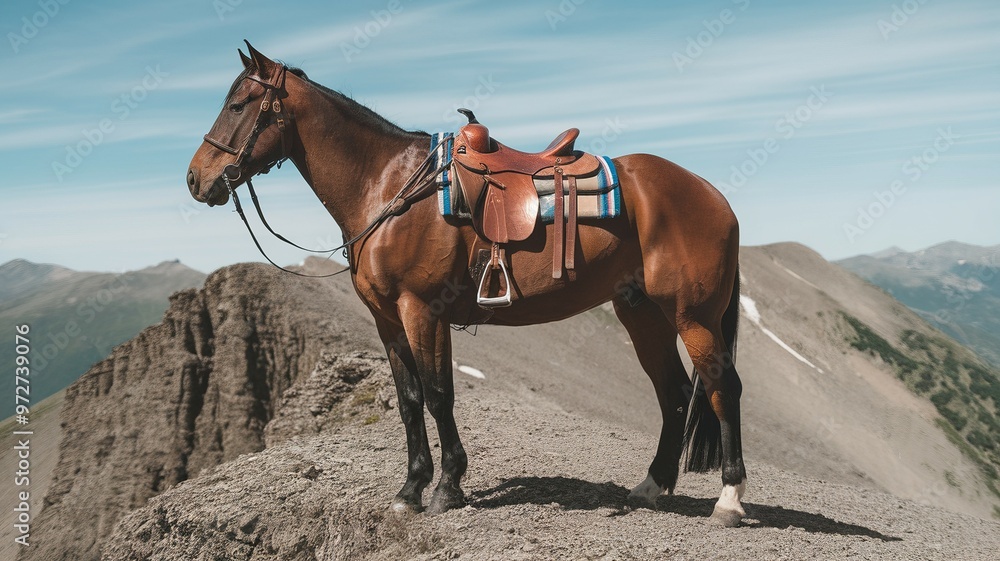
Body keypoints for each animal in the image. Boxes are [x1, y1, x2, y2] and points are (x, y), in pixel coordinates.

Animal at [186, 42, 747, 526]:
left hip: (694, 317)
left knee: (723, 388)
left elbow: (438, 395)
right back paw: (651, 486)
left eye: (238, 104)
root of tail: (714, 196)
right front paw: (410, 489)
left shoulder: (422, 312)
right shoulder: (387, 321)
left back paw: (730, 499)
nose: (195, 179)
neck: (388, 188)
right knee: (674, 393)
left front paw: (447, 487)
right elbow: (409, 400)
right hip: (643, 314)